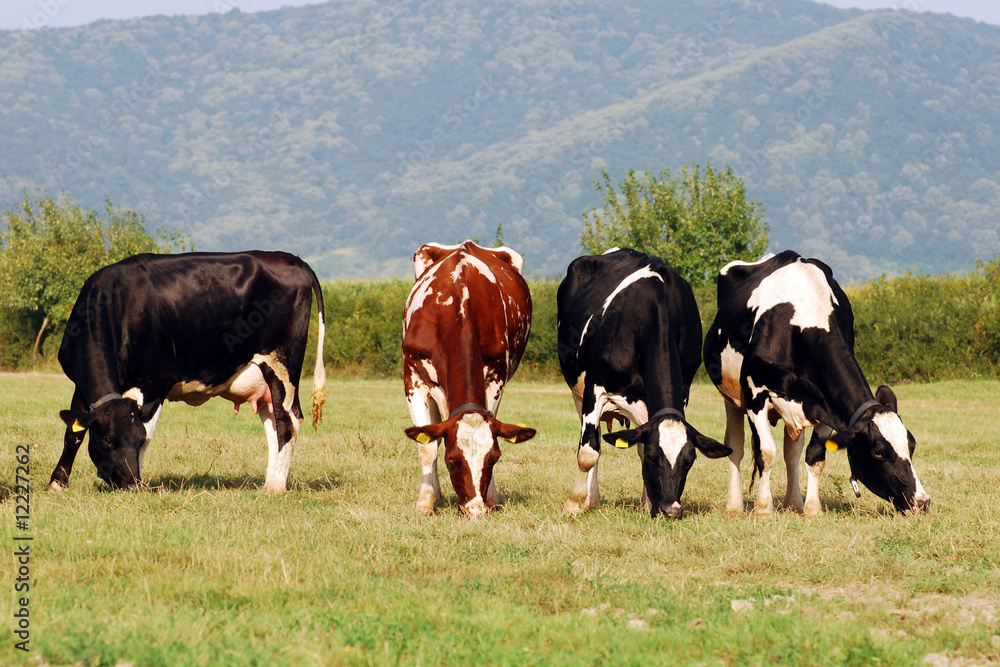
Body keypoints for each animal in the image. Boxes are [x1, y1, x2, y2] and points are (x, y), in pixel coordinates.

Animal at [48, 251, 326, 493]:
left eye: (137, 440)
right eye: (107, 440)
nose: (131, 486)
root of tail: (291, 259)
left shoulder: (155, 383)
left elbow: (148, 432)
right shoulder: (80, 385)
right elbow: (73, 433)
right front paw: (57, 483)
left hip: (282, 365)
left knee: (287, 422)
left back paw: (276, 487)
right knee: (273, 423)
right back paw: (269, 483)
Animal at [402, 241, 536, 516]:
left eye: (494, 458)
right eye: (452, 459)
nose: (475, 509)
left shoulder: (497, 378)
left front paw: (492, 498)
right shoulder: (413, 378)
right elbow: (427, 445)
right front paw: (425, 502)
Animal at [557, 248, 731, 519]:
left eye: (690, 460)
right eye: (653, 458)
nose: (671, 510)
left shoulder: (681, 391)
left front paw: (649, 503)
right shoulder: (595, 389)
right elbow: (588, 453)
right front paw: (573, 503)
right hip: (578, 390)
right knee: (593, 441)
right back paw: (590, 499)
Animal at [703, 250, 931, 518]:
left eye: (911, 446)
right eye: (877, 452)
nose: (922, 502)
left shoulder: (825, 405)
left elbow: (814, 456)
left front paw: (812, 509)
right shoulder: (755, 394)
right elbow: (766, 453)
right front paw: (763, 509)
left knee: (791, 452)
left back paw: (794, 503)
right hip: (731, 397)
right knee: (735, 446)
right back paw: (734, 505)